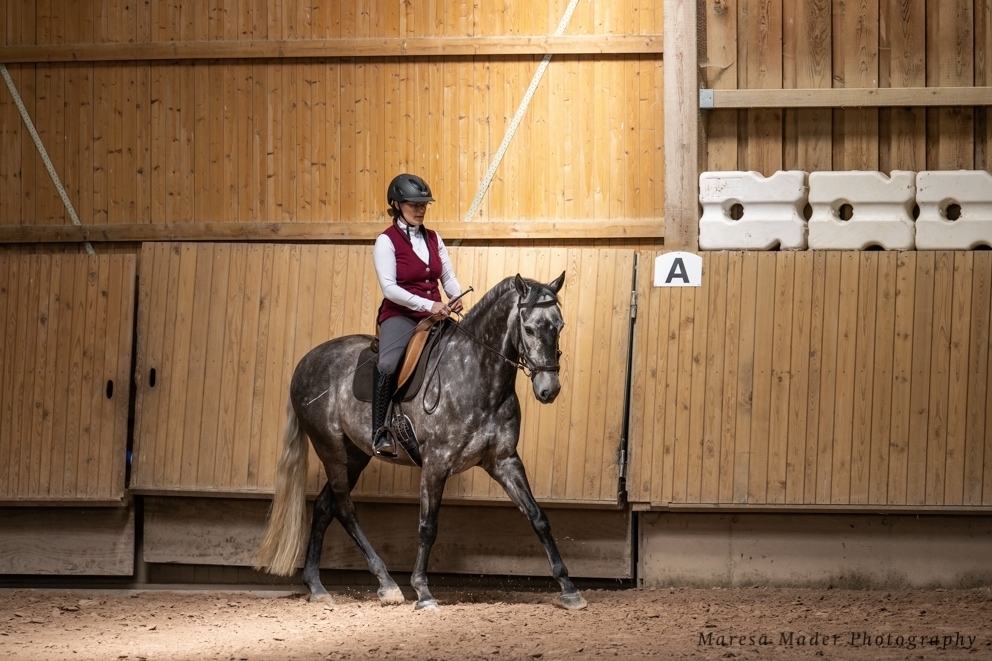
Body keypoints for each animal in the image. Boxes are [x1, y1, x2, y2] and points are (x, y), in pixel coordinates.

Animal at [252, 270, 588, 612]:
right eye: (529, 328)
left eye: (559, 325)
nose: (549, 389)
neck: (478, 375)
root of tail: (305, 362)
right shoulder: (435, 464)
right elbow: (428, 526)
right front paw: (423, 591)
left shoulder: (504, 461)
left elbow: (538, 517)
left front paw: (568, 588)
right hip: (330, 449)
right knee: (345, 509)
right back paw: (387, 584)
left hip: (355, 455)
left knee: (324, 506)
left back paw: (317, 585)